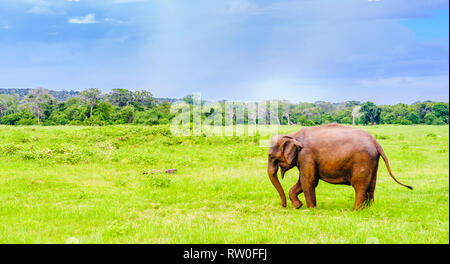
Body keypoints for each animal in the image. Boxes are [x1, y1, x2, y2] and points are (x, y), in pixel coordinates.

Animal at [268, 124, 412, 210]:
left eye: (270, 156)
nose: (284, 206)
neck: (293, 135)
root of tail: (375, 141)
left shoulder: (306, 155)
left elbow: (308, 181)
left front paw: (310, 209)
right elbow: (304, 181)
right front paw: (298, 206)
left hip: (363, 159)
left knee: (359, 184)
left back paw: (356, 211)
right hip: (373, 160)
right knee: (372, 184)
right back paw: (368, 209)